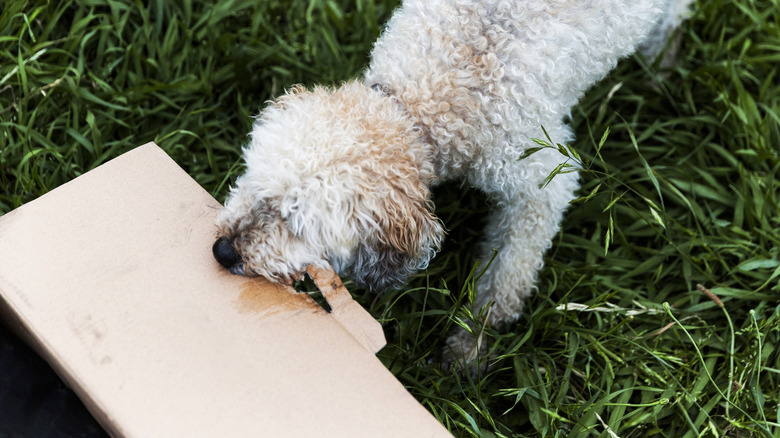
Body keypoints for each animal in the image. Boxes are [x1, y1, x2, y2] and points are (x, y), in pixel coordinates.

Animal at [212, 0, 688, 366]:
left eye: (298, 225)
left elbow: (505, 279)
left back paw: (661, 65)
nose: (223, 251)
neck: (424, 102)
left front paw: (469, 350)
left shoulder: (542, 180)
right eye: (253, 181)